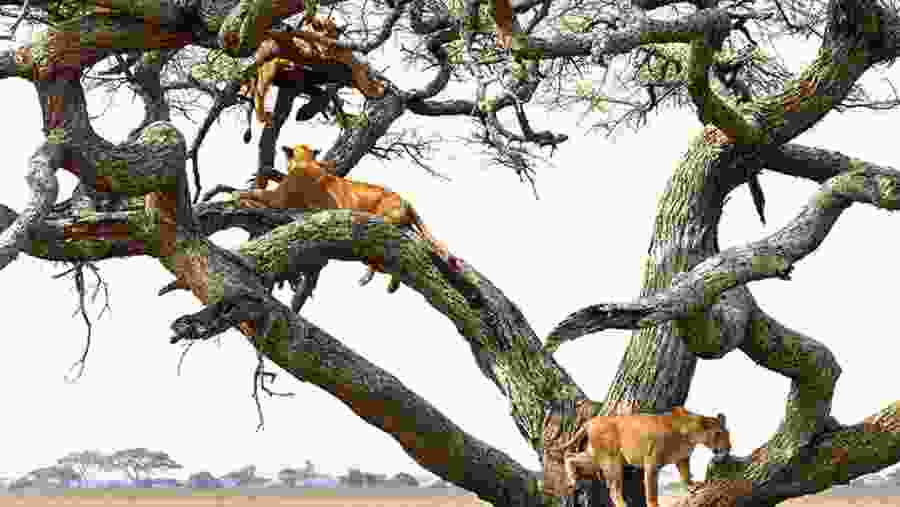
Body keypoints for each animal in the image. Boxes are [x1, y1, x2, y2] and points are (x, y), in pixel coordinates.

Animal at [553, 406, 731, 507]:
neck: (692, 435)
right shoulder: (652, 463)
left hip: (596, 457)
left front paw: (692, 485)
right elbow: (651, 490)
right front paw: (654, 505)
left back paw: (573, 478)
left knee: (570, 455)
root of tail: (590, 422)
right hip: (611, 460)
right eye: (718, 434)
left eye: (727, 433)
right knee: (613, 490)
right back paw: (622, 505)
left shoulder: (682, 459)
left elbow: (685, 475)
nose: (729, 448)